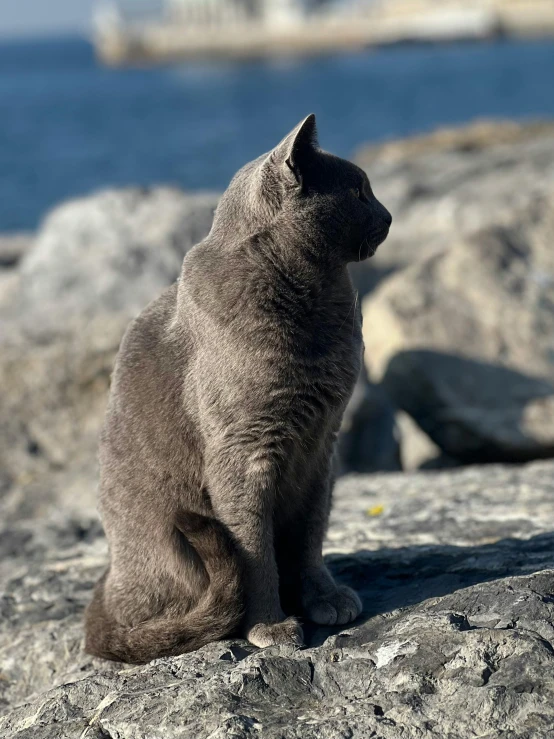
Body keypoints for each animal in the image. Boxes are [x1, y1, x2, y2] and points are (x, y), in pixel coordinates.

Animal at [84, 115, 390, 664]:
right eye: (359, 190)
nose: (389, 215)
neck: (316, 301)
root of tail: (108, 589)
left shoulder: (322, 447)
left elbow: (309, 535)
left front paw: (324, 597)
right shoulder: (244, 451)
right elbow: (255, 551)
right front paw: (270, 625)